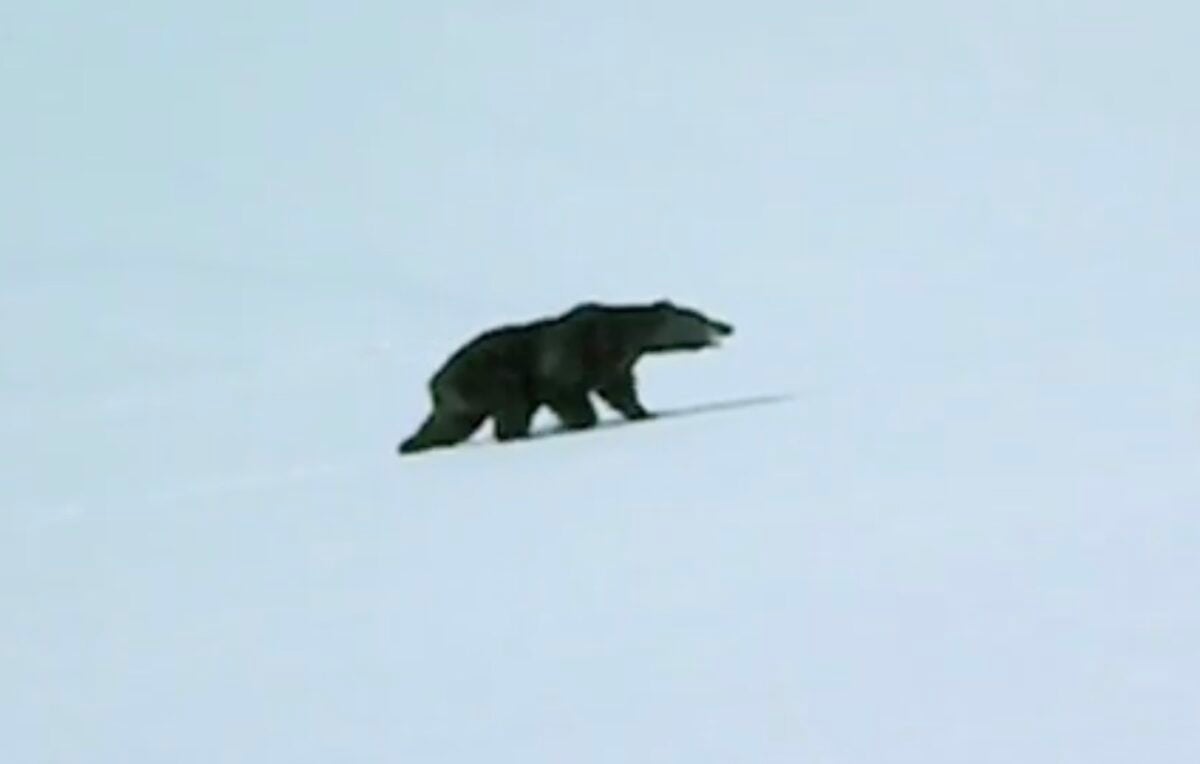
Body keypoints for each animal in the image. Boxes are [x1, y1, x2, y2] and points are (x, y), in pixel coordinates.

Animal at [397, 299, 734, 455]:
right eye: (701, 317)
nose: (727, 326)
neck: (621, 335)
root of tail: (435, 383)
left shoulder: (614, 363)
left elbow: (619, 390)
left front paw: (645, 412)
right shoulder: (574, 351)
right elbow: (566, 391)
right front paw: (580, 422)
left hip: (463, 399)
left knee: (448, 425)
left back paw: (410, 444)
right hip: (490, 377)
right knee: (511, 406)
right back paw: (517, 434)